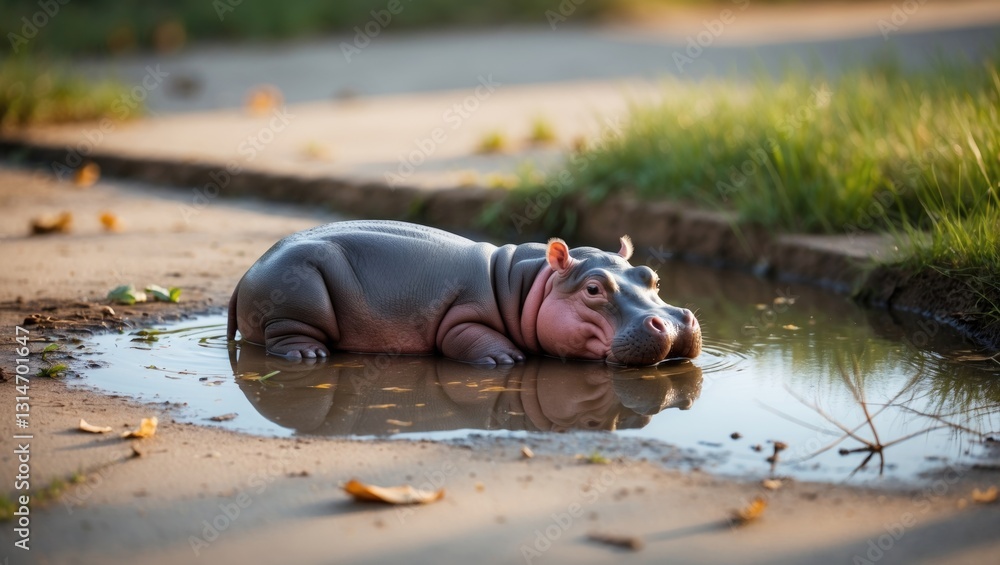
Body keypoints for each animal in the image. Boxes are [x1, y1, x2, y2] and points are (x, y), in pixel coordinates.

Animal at [227, 220, 701, 366]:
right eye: (593, 288)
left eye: (651, 276)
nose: (676, 323)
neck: (526, 285)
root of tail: (248, 269)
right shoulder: (462, 316)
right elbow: (465, 334)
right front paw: (507, 358)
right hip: (298, 299)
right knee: (283, 333)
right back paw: (308, 354)